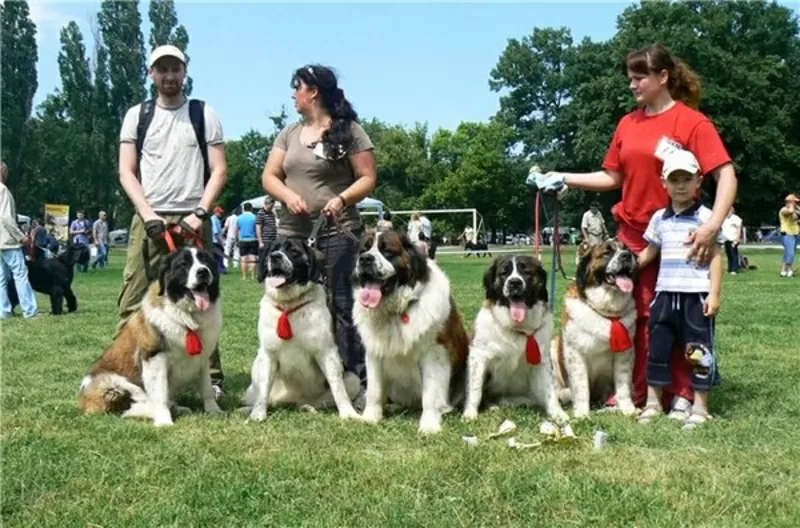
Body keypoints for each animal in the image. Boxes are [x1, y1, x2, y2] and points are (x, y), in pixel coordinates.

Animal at [79, 246, 222, 424]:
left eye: (206, 262)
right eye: (184, 264)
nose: (203, 271)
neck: (188, 315)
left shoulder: (202, 358)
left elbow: (207, 388)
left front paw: (214, 411)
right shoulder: (154, 356)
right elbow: (160, 393)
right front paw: (164, 422)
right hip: (113, 384)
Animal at [241, 238, 360, 420]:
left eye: (294, 251)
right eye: (272, 250)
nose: (275, 256)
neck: (289, 304)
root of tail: (289, 402)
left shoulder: (327, 352)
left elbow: (337, 387)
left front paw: (348, 413)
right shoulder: (268, 354)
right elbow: (264, 389)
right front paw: (257, 414)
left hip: (353, 379)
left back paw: (307, 408)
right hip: (256, 369)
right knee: (264, 396)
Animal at [354, 230, 472, 434]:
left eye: (387, 251)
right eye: (363, 249)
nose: (365, 259)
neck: (397, 311)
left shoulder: (434, 353)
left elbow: (430, 395)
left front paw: (429, 425)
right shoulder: (374, 354)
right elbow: (374, 390)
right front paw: (371, 417)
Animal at [462, 254, 568, 422]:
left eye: (526, 272)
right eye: (504, 273)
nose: (514, 282)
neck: (518, 329)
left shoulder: (542, 360)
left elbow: (549, 390)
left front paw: (557, 413)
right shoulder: (479, 356)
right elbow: (475, 388)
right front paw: (470, 413)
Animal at [552, 237, 636, 418]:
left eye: (627, 250)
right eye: (607, 252)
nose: (626, 256)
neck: (605, 311)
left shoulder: (625, 354)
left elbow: (623, 383)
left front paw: (628, 408)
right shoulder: (575, 354)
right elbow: (581, 387)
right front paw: (582, 414)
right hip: (553, 346)